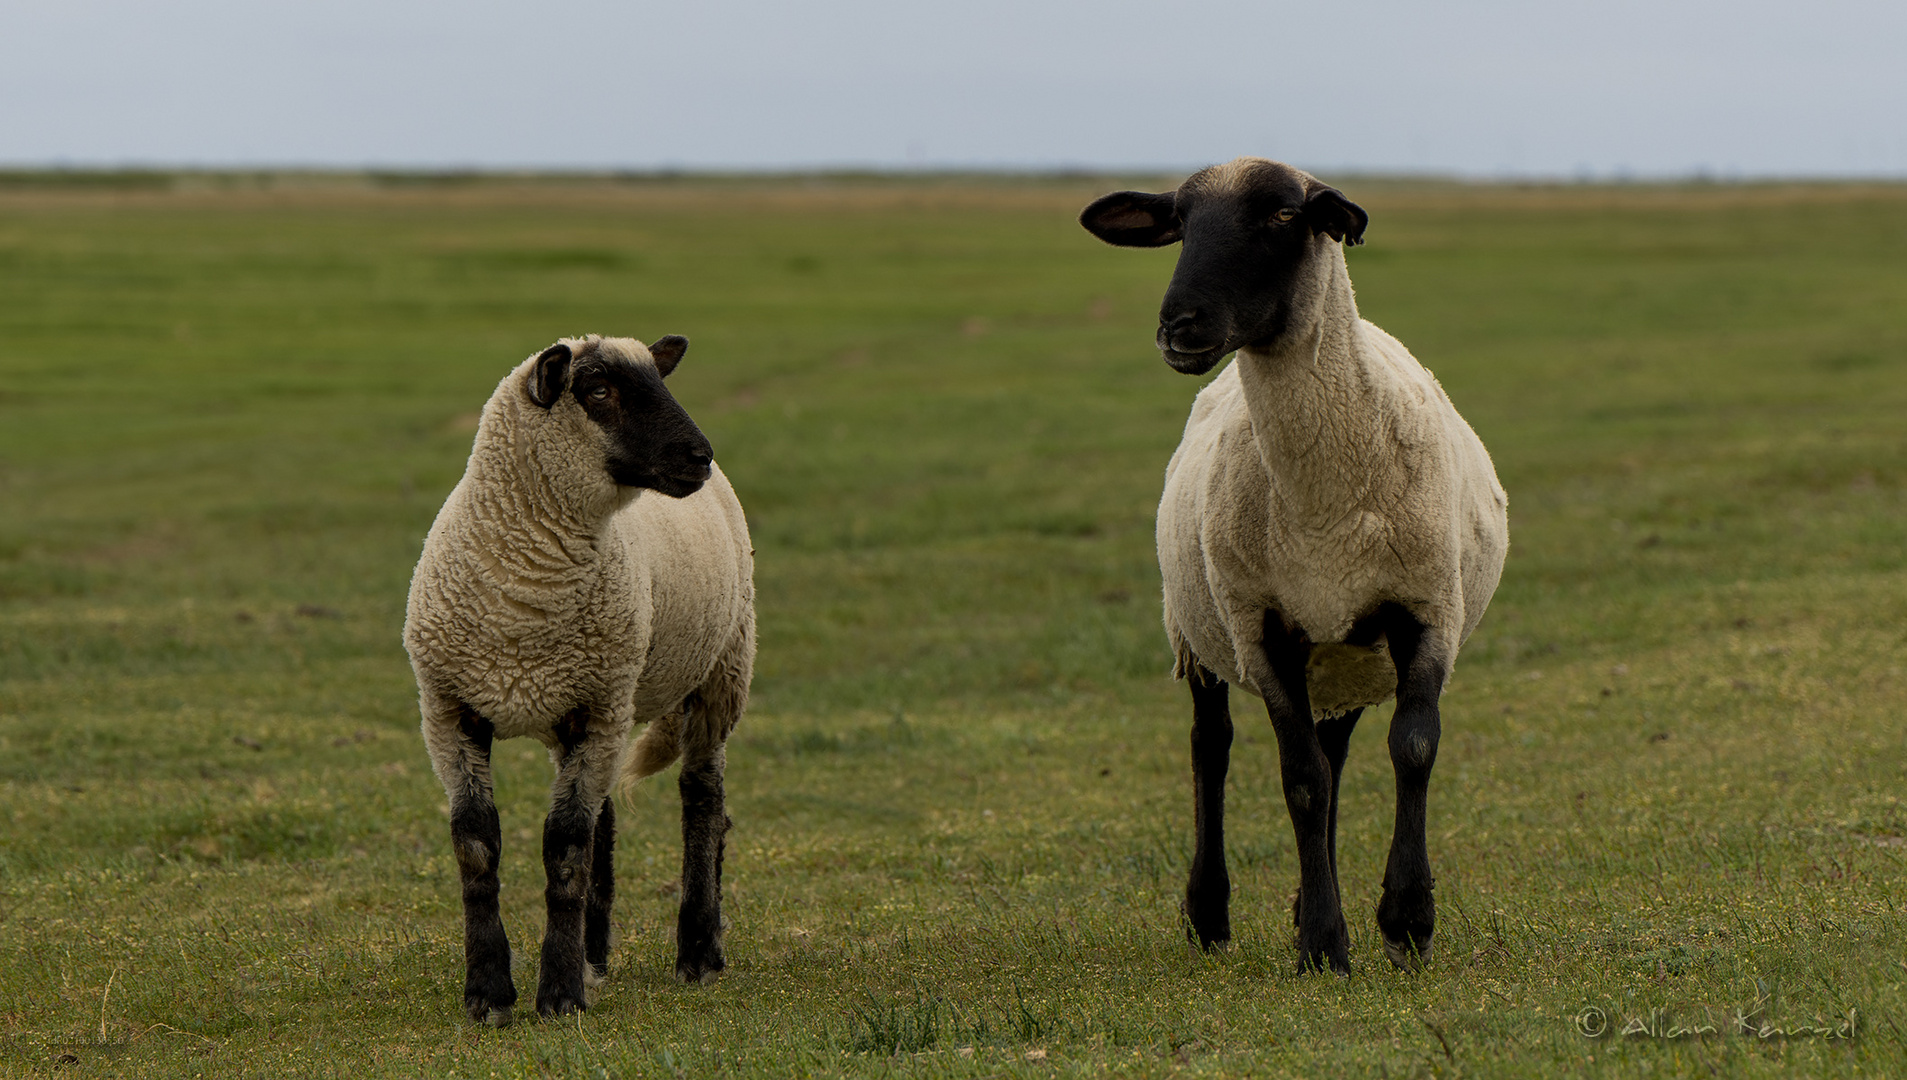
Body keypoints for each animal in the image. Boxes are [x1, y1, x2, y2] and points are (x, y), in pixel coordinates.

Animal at [406, 333, 755, 1030]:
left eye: (659, 379)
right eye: (597, 391)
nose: (699, 456)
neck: (525, 590)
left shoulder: (597, 706)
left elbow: (565, 849)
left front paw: (559, 994)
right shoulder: (452, 710)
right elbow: (476, 845)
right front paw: (488, 992)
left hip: (720, 670)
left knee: (703, 802)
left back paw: (699, 950)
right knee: (606, 819)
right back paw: (596, 955)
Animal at [1090, 161, 1502, 984]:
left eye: (1284, 215)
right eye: (1180, 222)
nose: (1179, 328)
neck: (1325, 507)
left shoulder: (1425, 612)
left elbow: (1411, 750)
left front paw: (1406, 923)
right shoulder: (1263, 631)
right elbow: (1301, 780)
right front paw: (1323, 944)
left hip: (1345, 655)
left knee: (1334, 751)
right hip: (1200, 628)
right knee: (1211, 747)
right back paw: (1208, 915)